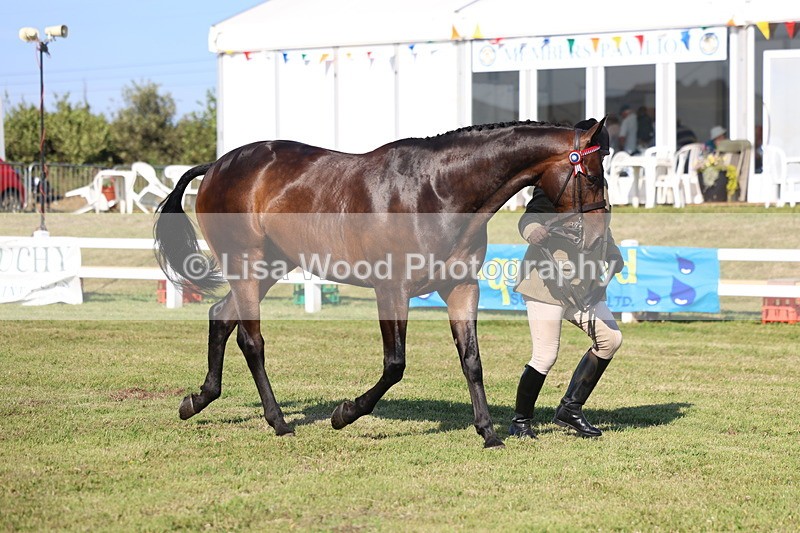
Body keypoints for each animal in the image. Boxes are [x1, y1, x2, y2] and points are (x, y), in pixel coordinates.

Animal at [154, 117, 609, 448]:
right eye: (592, 176)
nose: (598, 240)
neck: (437, 191)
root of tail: (217, 165)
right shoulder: (392, 290)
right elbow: (395, 365)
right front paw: (345, 413)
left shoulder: (461, 288)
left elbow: (472, 361)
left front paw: (489, 433)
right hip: (246, 266)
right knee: (251, 340)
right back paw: (278, 421)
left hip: (268, 267)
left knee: (220, 316)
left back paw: (197, 400)